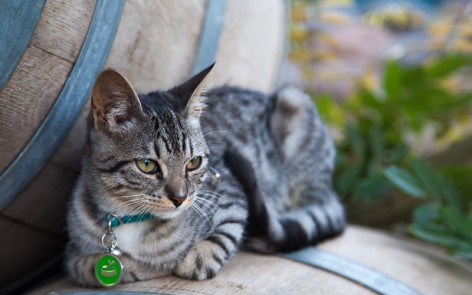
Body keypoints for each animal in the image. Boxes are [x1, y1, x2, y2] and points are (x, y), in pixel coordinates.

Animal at [66, 64, 344, 286]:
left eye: (194, 162)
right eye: (147, 165)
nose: (180, 197)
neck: (129, 218)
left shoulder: (231, 194)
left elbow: (215, 244)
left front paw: (192, 257)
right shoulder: (76, 253)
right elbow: (84, 266)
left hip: (294, 103)